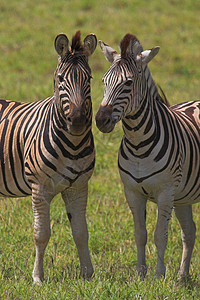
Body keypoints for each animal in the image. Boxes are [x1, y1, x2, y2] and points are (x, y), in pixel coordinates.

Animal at [0, 31, 97, 284]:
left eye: (89, 78)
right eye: (61, 79)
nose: (77, 121)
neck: (73, 145)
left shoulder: (78, 187)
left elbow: (81, 232)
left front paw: (88, 274)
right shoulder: (40, 188)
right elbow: (41, 234)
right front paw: (38, 277)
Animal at [95, 34, 200, 280]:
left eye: (128, 83)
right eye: (104, 81)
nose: (101, 120)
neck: (138, 145)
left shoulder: (165, 193)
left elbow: (160, 235)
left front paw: (159, 275)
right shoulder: (132, 192)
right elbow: (140, 234)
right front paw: (140, 274)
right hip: (183, 196)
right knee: (189, 232)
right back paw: (182, 278)